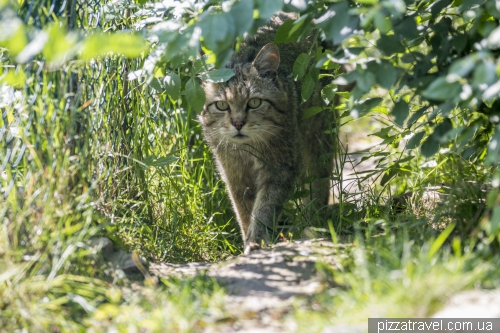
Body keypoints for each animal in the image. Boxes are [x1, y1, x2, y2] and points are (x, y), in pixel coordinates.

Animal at [199, 11, 336, 253]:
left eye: (254, 102)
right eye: (222, 106)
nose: (238, 123)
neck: (247, 149)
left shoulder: (280, 166)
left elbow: (265, 207)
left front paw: (257, 240)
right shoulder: (233, 174)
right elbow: (244, 210)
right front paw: (249, 237)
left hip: (319, 131)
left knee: (319, 177)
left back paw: (313, 221)